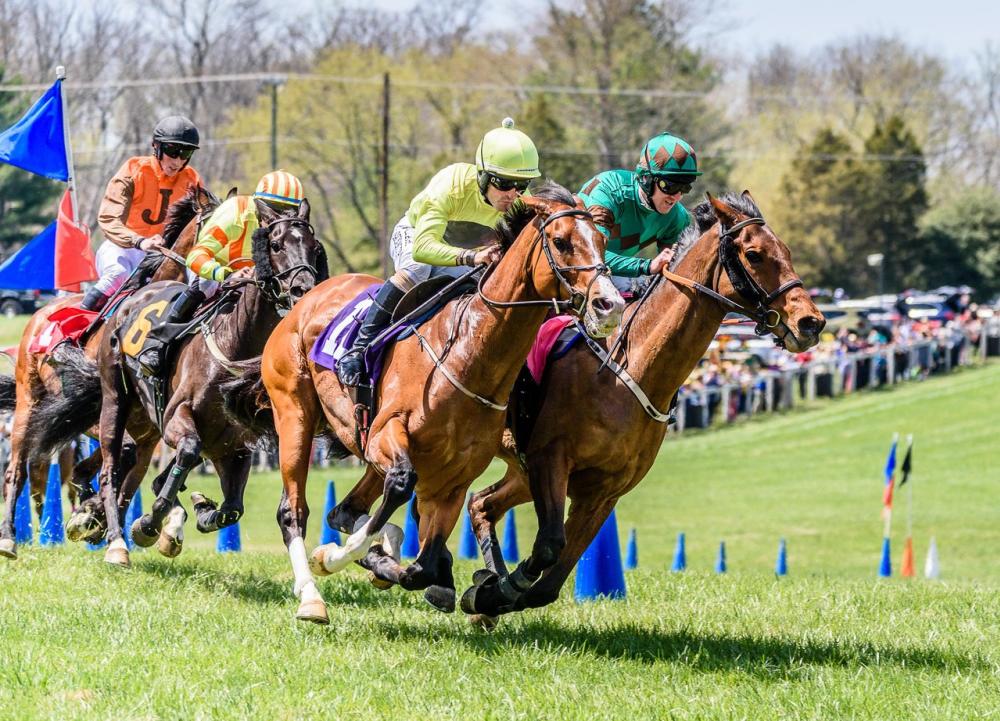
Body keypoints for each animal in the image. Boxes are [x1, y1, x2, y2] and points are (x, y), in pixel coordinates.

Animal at [0, 186, 219, 560]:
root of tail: (39, 314)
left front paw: (98, 518)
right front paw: (96, 518)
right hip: (30, 403)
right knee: (17, 470)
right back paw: (11, 538)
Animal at [89, 197, 325, 567]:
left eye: (314, 248)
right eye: (275, 245)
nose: (303, 290)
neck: (236, 345)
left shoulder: (235, 446)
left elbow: (231, 510)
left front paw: (200, 509)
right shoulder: (176, 418)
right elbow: (185, 454)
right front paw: (150, 523)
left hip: (148, 425)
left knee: (137, 473)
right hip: (115, 398)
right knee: (110, 471)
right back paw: (115, 542)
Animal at [239, 182, 625, 624]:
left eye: (602, 241)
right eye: (561, 242)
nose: (610, 305)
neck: (467, 357)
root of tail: (303, 300)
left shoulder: (452, 481)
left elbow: (421, 568)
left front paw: (391, 564)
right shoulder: (387, 434)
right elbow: (400, 490)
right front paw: (335, 556)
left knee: (346, 510)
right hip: (295, 415)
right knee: (293, 510)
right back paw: (311, 596)